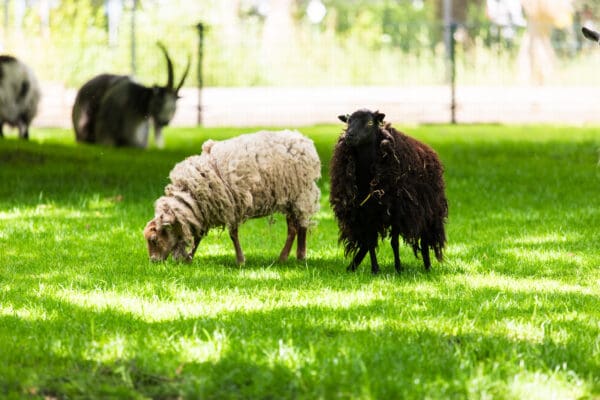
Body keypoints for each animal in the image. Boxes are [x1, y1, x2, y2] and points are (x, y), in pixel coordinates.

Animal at [144, 130, 322, 264]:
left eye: (154, 239)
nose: (153, 261)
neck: (190, 195)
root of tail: (304, 141)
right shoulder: (205, 211)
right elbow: (199, 236)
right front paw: (189, 257)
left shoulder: (231, 207)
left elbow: (233, 235)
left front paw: (240, 260)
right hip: (289, 198)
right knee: (293, 228)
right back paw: (284, 258)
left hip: (301, 195)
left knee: (302, 226)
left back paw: (300, 257)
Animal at [330, 108, 448, 274]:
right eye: (348, 121)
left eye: (369, 122)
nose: (349, 136)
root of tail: (429, 150)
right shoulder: (366, 210)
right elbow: (370, 242)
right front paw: (375, 269)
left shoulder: (396, 210)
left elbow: (394, 243)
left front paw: (398, 268)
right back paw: (353, 266)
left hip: (428, 210)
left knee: (425, 240)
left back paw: (428, 267)